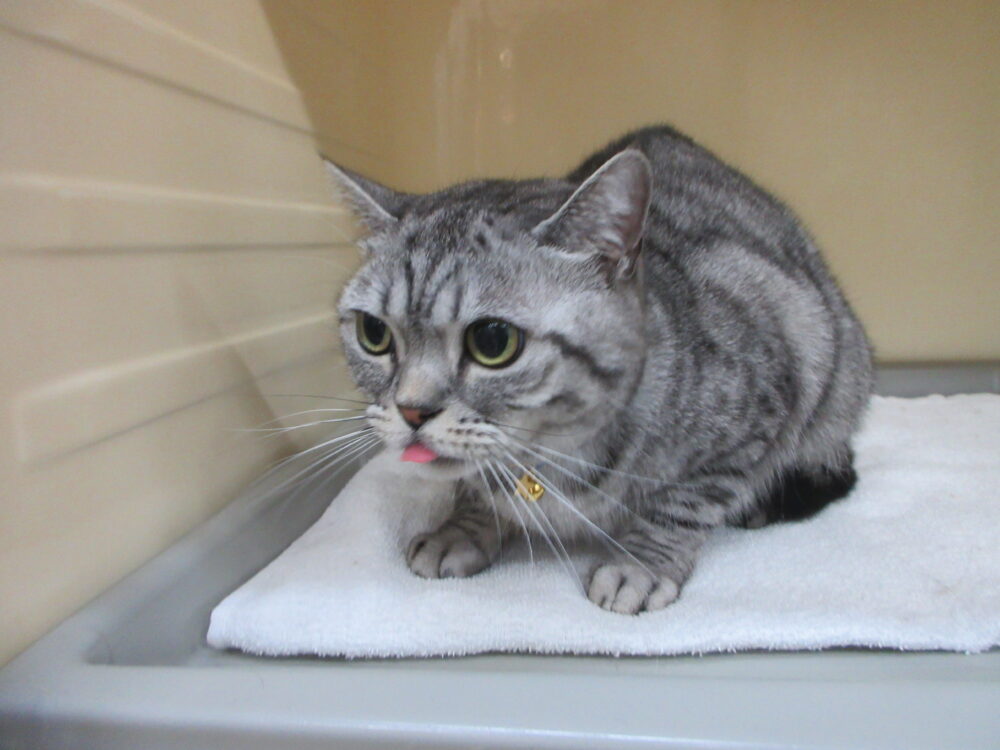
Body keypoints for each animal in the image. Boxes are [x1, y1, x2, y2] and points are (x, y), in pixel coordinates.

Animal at [326, 125, 873, 614]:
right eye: (374, 333)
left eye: (493, 342)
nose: (412, 410)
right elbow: (473, 488)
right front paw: (460, 529)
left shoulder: (761, 405)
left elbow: (683, 505)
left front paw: (640, 565)